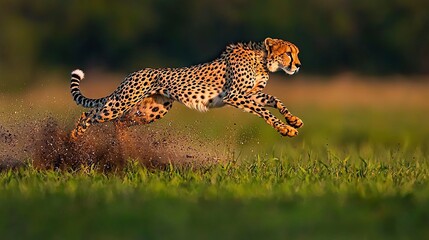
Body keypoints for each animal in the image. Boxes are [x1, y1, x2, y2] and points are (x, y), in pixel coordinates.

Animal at [70, 37, 302, 141]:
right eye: (288, 53)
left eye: (296, 53)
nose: (298, 65)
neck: (262, 61)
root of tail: (132, 73)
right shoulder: (234, 95)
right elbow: (264, 111)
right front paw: (286, 129)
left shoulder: (249, 95)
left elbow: (274, 100)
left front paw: (293, 121)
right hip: (121, 102)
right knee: (90, 114)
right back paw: (74, 137)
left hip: (152, 110)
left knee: (117, 121)